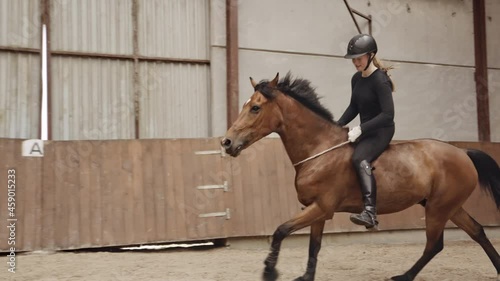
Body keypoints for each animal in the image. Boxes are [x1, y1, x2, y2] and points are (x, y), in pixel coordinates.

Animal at [221, 72, 500, 280]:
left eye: (255, 108)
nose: (226, 142)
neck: (319, 150)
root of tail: (463, 152)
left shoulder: (322, 207)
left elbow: (280, 230)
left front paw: (269, 271)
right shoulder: (317, 210)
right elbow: (314, 245)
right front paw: (306, 276)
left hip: (439, 209)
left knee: (435, 244)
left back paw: (403, 277)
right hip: (448, 207)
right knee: (476, 232)